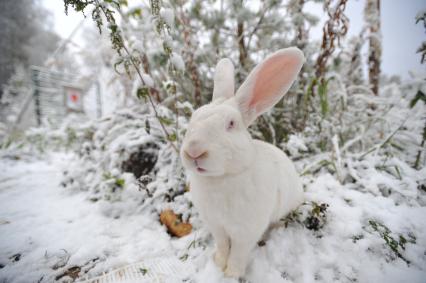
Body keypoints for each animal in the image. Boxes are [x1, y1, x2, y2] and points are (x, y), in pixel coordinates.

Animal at [181, 47, 304, 278]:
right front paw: (218, 263)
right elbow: (222, 245)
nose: (193, 151)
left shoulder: (246, 232)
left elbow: (238, 253)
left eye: (231, 124)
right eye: (193, 118)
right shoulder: (217, 227)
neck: (222, 178)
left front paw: (231, 273)